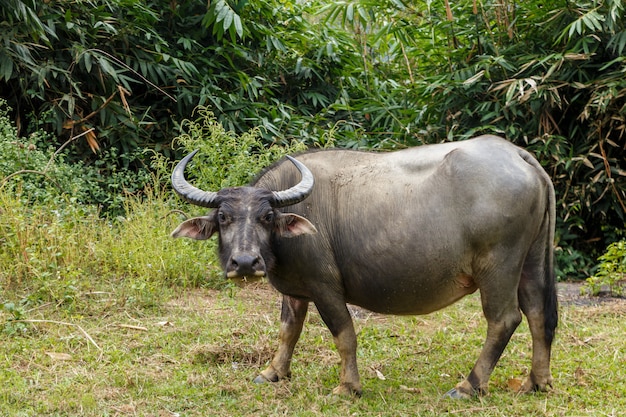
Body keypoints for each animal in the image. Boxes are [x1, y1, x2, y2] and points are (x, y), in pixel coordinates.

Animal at [171, 135, 556, 398]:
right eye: (223, 217)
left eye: (267, 216)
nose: (245, 262)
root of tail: (518, 155)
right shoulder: (294, 289)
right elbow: (288, 330)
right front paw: (273, 372)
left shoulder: (325, 286)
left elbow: (344, 334)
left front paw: (348, 387)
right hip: (531, 259)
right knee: (539, 314)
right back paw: (536, 381)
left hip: (498, 265)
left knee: (504, 319)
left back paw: (468, 385)